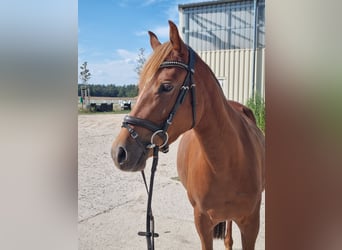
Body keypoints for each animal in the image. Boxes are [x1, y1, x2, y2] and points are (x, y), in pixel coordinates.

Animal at [112, 21, 264, 250]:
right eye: (139, 87)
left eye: (166, 86)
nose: (119, 152)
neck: (227, 163)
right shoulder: (202, 222)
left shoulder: (251, 224)